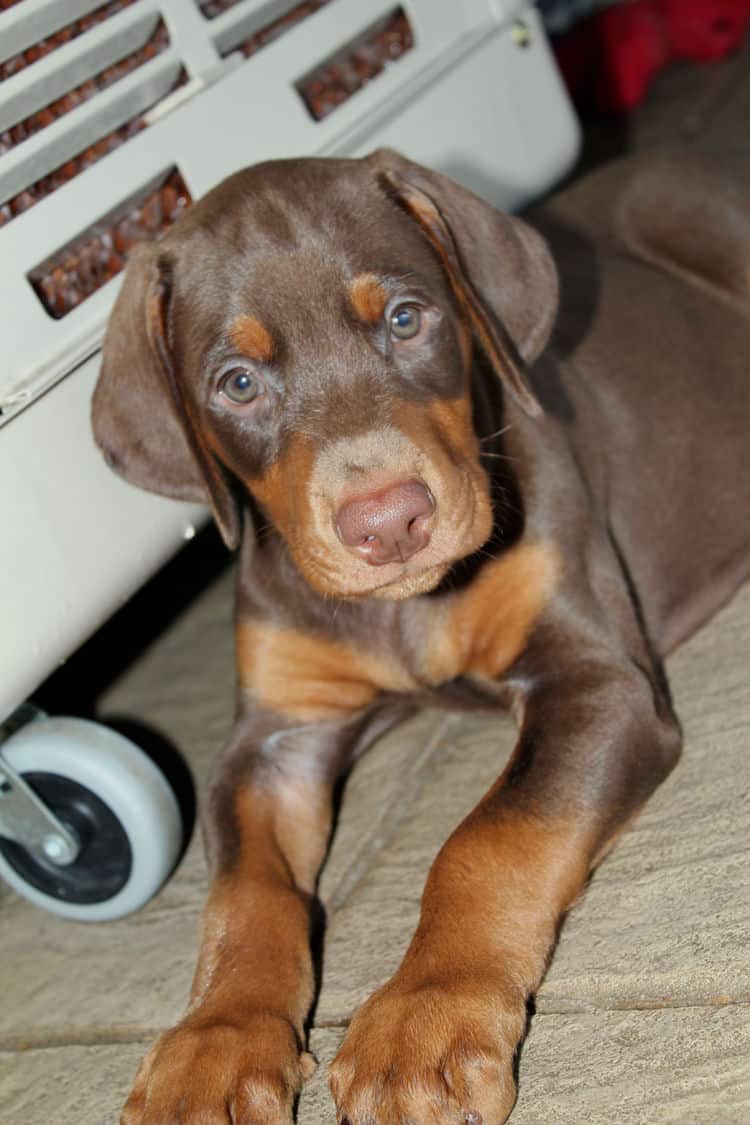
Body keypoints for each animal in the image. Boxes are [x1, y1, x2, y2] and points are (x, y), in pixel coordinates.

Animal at [92, 145, 750, 1120]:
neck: (403, 609)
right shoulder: (275, 737)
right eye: (237, 383)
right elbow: (246, 893)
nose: (388, 521)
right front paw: (211, 1044)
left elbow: (490, 836)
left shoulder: (596, 678)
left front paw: (426, 1018)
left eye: (406, 319)